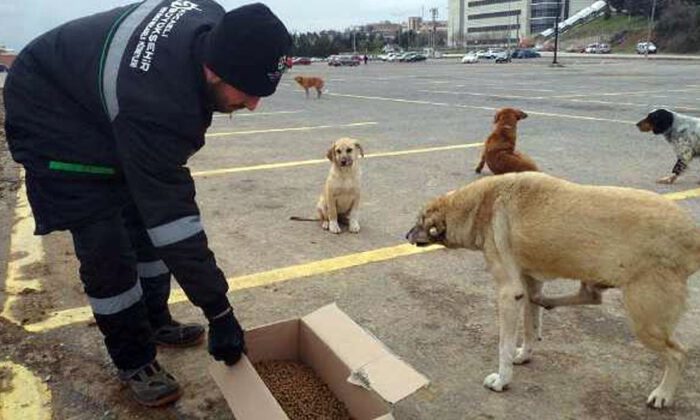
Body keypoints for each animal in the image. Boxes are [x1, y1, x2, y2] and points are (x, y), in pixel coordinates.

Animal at [404, 172, 700, 408]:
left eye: (419, 220)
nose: (405, 236)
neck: (478, 205)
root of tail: (693, 234)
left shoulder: (508, 294)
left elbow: (503, 346)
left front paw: (502, 379)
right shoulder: (527, 283)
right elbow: (530, 327)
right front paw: (524, 354)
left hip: (646, 321)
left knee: (678, 354)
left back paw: (663, 394)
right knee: (586, 296)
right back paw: (547, 301)